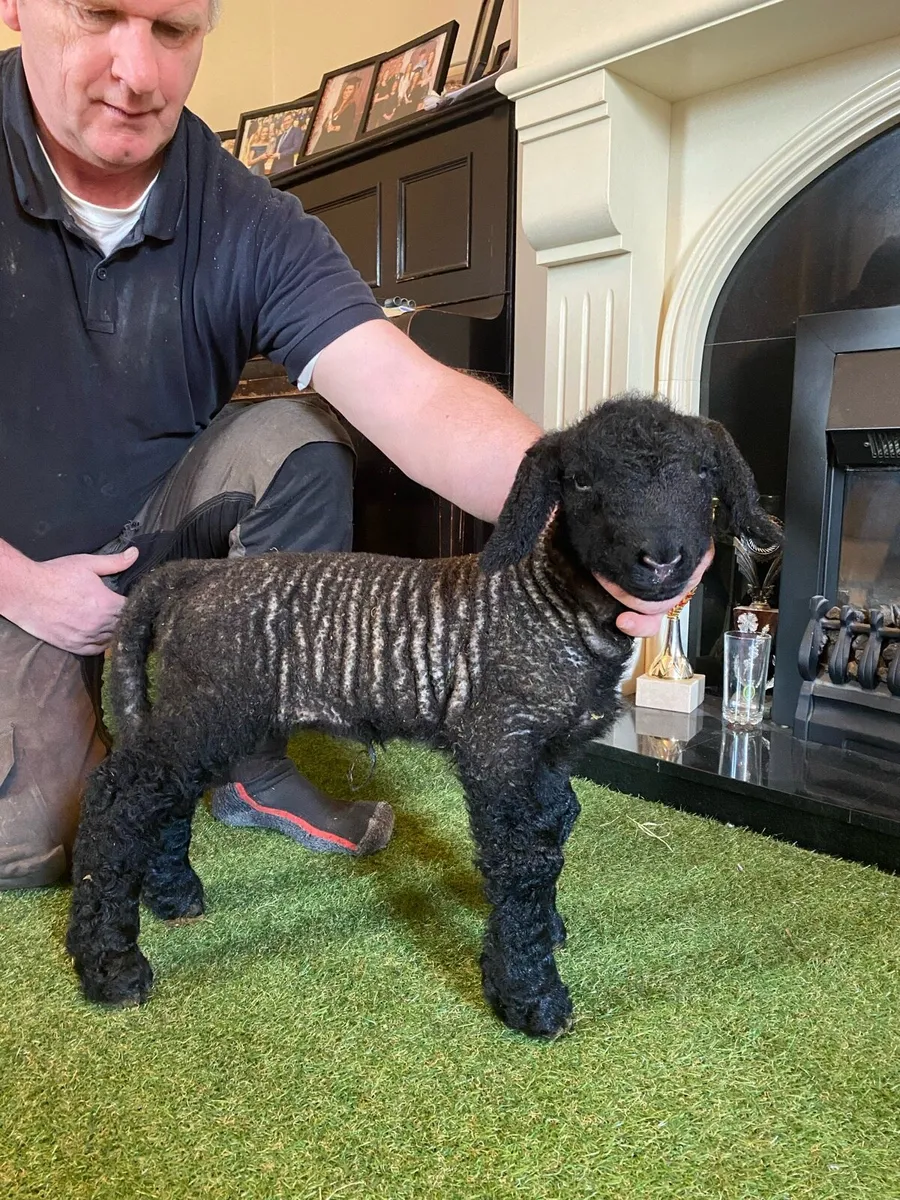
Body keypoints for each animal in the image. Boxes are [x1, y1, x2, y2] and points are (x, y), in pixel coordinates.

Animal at [65, 393, 779, 1039]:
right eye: (580, 481)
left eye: (703, 472)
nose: (660, 558)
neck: (554, 602)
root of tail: (190, 577)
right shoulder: (497, 742)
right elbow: (524, 861)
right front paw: (528, 996)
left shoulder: (547, 755)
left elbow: (554, 832)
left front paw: (542, 929)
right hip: (211, 704)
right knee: (118, 794)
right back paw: (110, 964)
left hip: (201, 709)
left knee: (167, 795)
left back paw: (172, 893)